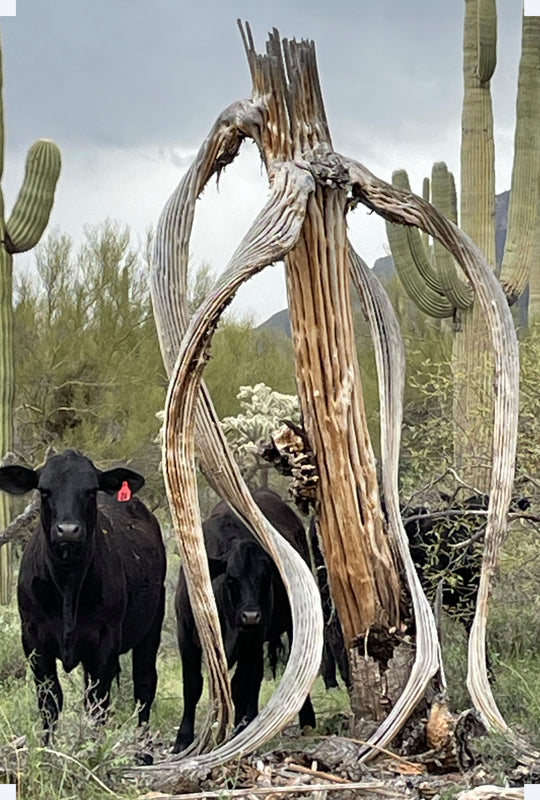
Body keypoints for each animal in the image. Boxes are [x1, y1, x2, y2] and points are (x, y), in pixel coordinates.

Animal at [0, 450, 167, 736]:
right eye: (44, 491)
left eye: (90, 491)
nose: (67, 530)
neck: (68, 586)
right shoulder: (33, 637)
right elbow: (50, 701)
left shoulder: (105, 641)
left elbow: (97, 703)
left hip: (152, 625)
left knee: (144, 685)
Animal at [173, 484, 316, 752]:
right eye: (231, 579)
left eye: (265, 578)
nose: (250, 615)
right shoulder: (185, 633)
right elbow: (192, 685)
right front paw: (183, 739)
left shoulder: (253, 638)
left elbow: (240, 685)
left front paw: (237, 735)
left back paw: (304, 721)